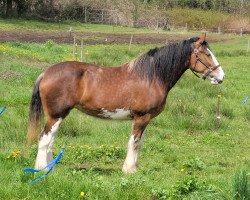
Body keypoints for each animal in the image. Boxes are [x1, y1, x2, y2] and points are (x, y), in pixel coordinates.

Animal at [26, 32, 225, 173]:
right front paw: (129, 169)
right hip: (56, 115)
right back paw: (42, 169)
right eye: (207, 54)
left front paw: (134, 168)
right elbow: (134, 143)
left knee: (50, 139)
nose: (221, 76)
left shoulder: (145, 119)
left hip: (58, 116)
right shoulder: (141, 117)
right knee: (44, 138)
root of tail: (46, 73)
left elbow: (140, 143)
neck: (152, 76)